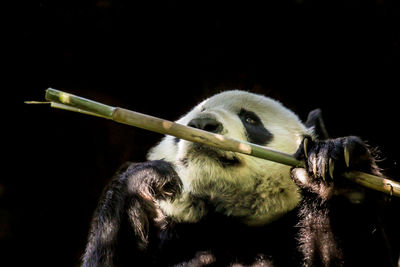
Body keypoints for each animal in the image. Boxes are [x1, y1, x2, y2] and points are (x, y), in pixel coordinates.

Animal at [80, 91, 394, 266]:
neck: (229, 223)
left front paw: (334, 168)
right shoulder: (174, 240)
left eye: (251, 120)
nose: (203, 124)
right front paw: (144, 179)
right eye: (179, 129)